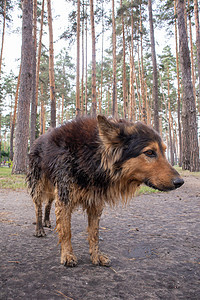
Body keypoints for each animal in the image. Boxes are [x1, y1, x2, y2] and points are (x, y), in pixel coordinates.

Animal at [26, 115, 184, 268]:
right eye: (150, 152)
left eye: (164, 151)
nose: (180, 182)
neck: (94, 155)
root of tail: (37, 139)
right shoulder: (65, 198)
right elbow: (66, 231)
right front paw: (67, 255)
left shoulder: (95, 202)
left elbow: (94, 233)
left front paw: (96, 256)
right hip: (39, 185)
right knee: (38, 207)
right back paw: (39, 229)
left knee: (48, 203)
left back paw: (47, 221)